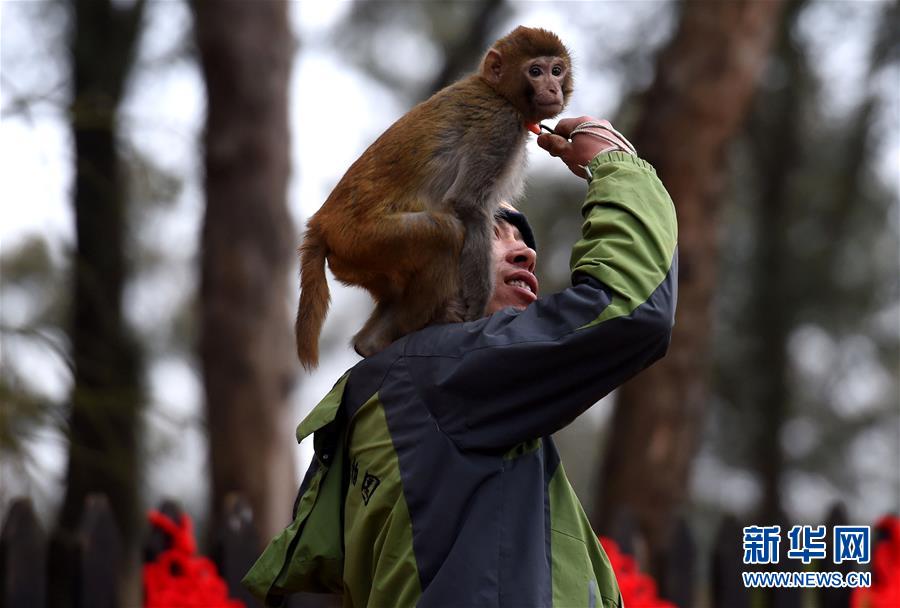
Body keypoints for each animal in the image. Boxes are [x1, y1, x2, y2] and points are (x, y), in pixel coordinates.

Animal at [296, 26, 572, 369]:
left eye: (556, 70)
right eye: (536, 71)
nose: (553, 88)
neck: (497, 91)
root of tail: (322, 223)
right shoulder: (500, 126)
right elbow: (468, 203)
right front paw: (477, 306)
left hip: (356, 260)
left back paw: (370, 342)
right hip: (364, 241)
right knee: (445, 234)